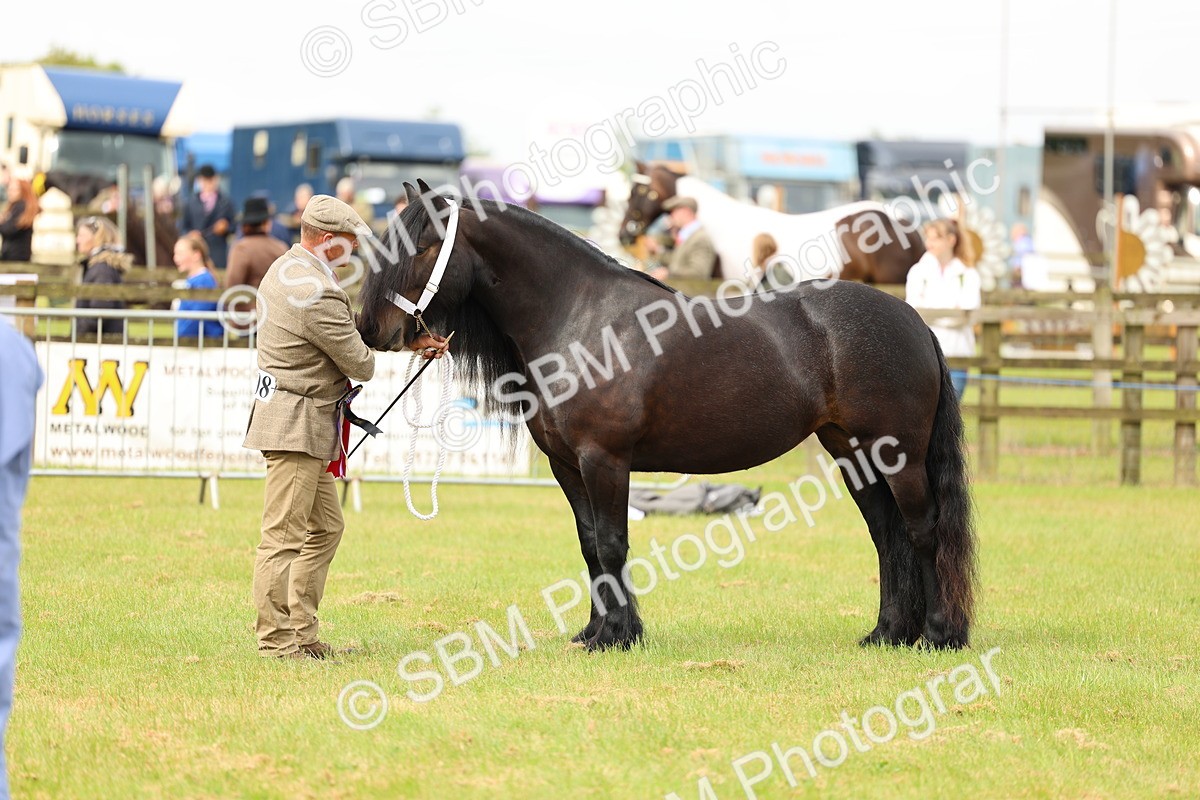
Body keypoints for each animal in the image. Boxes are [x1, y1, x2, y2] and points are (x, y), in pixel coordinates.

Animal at [356, 179, 976, 652]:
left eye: (421, 246)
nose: (371, 330)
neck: (580, 318)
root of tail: (913, 320)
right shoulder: (566, 465)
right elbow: (589, 544)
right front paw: (595, 631)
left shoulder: (604, 460)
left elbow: (613, 543)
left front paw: (618, 636)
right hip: (853, 453)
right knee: (886, 534)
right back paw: (888, 634)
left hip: (898, 455)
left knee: (922, 530)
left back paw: (939, 635)